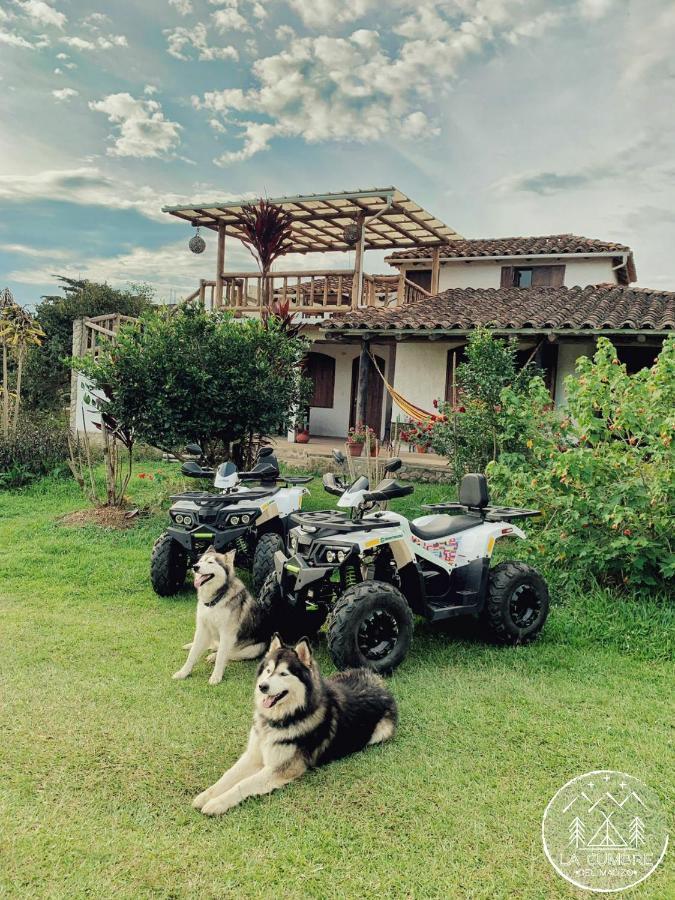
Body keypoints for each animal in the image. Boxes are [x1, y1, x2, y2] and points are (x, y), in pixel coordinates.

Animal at [173, 544, 276, 684]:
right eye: (200, 561)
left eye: (210, 562)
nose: (195, 567)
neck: (216, 599)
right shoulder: (202, 629)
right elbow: (192, 654)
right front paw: (183, 672)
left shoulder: (227, 634)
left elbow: (222, 656)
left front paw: (216, 676)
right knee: (212, 645)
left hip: (254, 648)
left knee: (230, 653)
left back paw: (213, 656)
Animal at [193, 632, 398, 816]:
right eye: (268, 671)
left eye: (284, 674)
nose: (262, 686)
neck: (282, 718)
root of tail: (379, 682)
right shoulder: (253, 755)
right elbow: (227, 776)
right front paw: (205, 795)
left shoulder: (282, 769)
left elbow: (243, 783)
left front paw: (217, 803)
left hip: (381, 732)